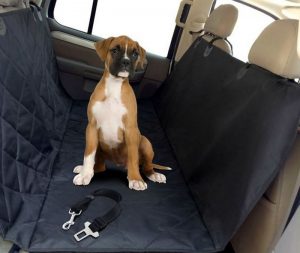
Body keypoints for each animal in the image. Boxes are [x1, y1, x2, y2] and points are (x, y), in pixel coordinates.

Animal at [72, 35, 170, 190]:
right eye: (115, 50)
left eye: (135, 54)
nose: (126, 61)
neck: (114, 85)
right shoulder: (92, 127)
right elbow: (88, 154)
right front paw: (84, 174)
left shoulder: (131, 130)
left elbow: (133, 156)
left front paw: (135, 179)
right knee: (100, 166)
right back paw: (86, 169)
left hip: (145, 141)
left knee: (146, 165)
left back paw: (154, 175)